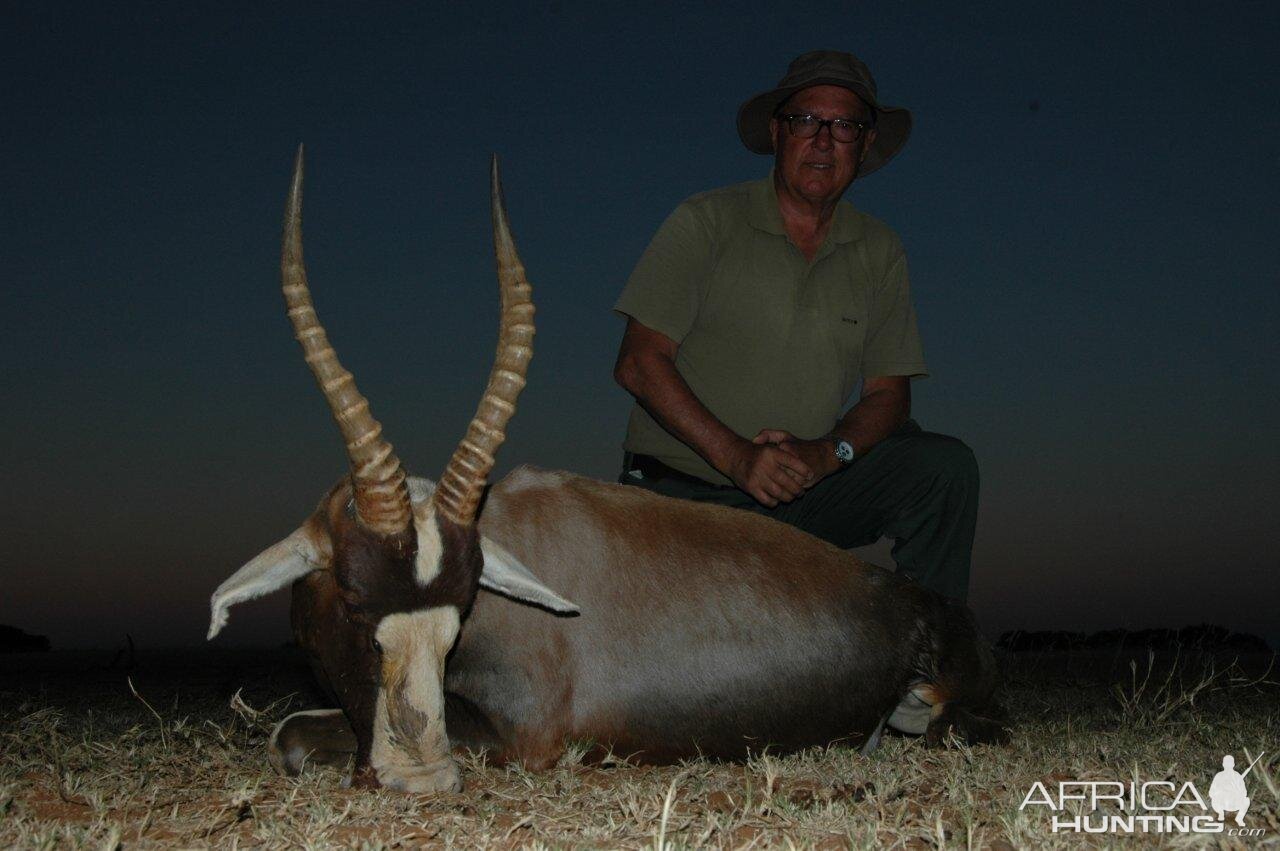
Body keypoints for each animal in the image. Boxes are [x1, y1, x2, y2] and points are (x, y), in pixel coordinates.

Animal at [207, 149, 1008, 793]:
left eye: (463, 605)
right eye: (351, 595)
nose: (422, 777)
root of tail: (924, 600)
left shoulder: (521, 737)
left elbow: (293, 735)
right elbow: (287, 732)